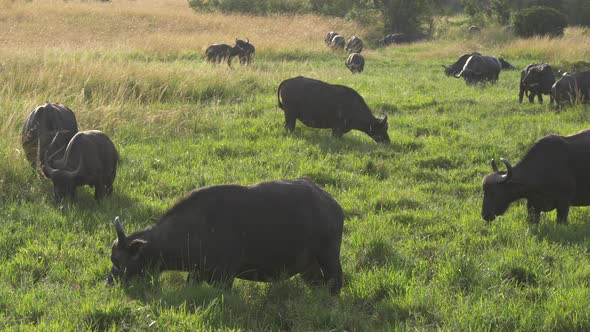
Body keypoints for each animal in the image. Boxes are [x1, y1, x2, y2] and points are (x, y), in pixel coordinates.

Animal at [108, 179, 344, 296]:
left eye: (119, 261)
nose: (109, 283)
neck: (194, 230)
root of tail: (330, 203)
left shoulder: (225, 277)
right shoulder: (197, 274)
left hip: (329, 257)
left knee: (336, 282)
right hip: (308, 266)